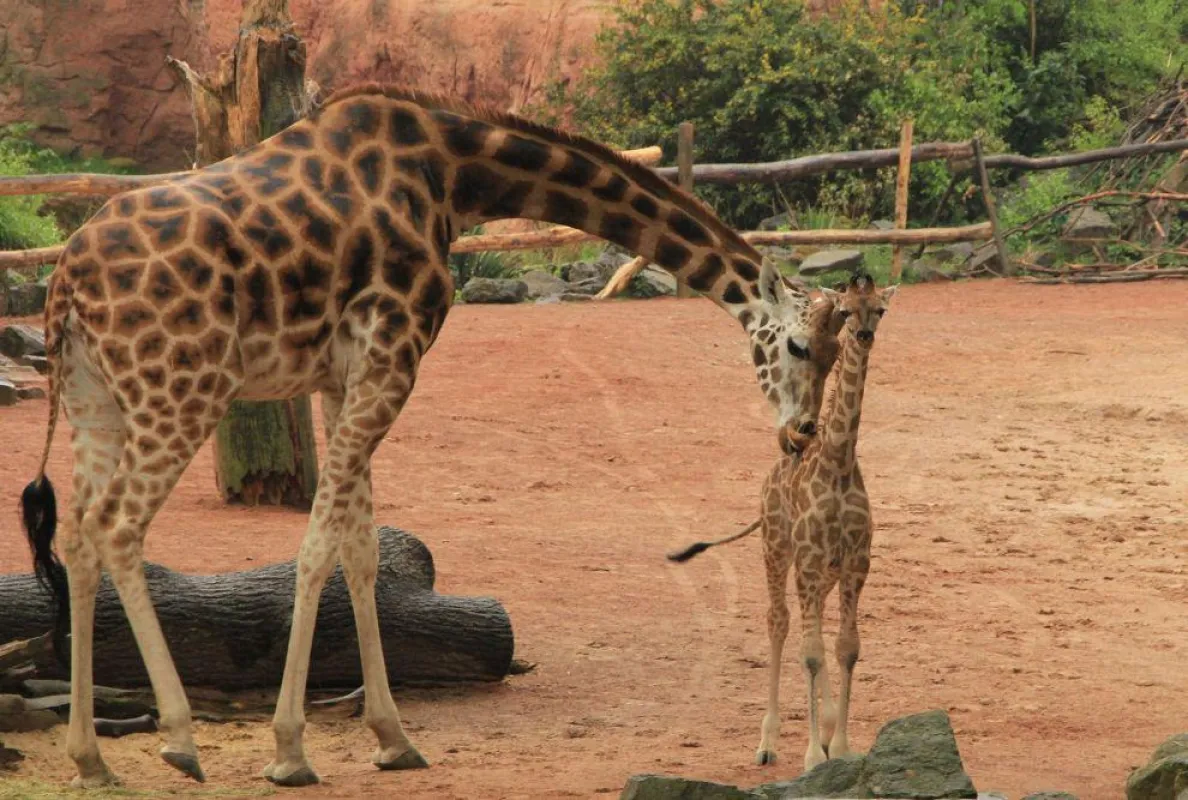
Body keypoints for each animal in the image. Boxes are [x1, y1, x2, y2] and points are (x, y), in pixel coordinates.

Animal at [18, 84, 828, 790]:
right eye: (798, 347)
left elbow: (361, 550)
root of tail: (64, 284)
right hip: (185, 389)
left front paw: (392, 737)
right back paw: (181, 740)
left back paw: (92, 757)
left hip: (97, 398)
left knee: (79, 537)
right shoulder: (393, 355)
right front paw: (290, 751)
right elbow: (318, 548)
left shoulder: (343, 375)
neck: (456, 175)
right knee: (119, 528)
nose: (804, 435)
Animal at [666, 272, 896, 772]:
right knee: (779, 621)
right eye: (845, 310)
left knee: (813, 624)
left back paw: (824, 730)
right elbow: (809, 651)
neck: (838, 461)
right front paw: (812, 757)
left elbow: (846, 647)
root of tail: (770, 477)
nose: (863, 335)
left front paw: (840, 747)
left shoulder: (855, 561)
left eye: (880, 310)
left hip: (821, 570)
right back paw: (768, 743)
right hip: (775, 547)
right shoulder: (808, 556)